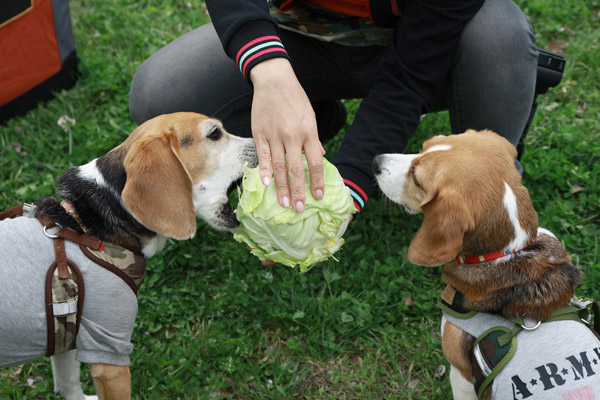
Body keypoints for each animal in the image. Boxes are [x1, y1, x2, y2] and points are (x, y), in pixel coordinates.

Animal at [0, 112, 255, 400]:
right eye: (214, 134)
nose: (260, 144)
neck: (89, 224)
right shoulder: (109, 351)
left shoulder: (65, 337)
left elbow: (69, 383)